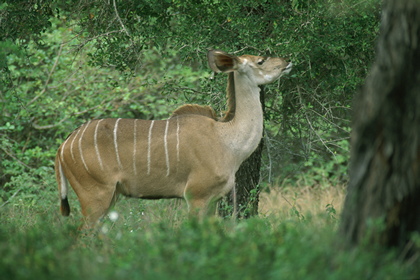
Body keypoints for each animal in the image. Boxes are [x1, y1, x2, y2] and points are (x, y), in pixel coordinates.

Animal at [55, 49, 292, 226]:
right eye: (261, 60)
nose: (287, 61)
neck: (227, 140)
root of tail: (63, 147)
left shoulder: (213, 199)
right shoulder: (196, 196)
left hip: (111, 196)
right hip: (95, 197)